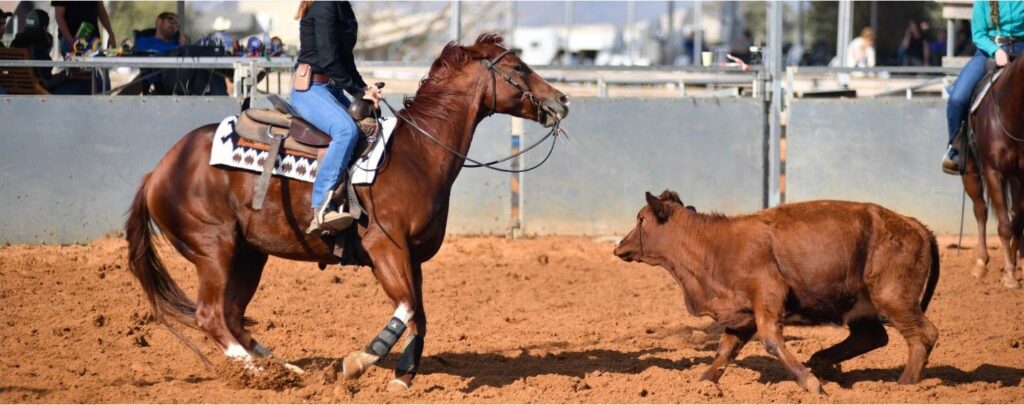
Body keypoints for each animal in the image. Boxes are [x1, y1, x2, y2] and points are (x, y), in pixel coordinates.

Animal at [124, 34, 570, 391]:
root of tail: (158, 171)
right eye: (518, 66)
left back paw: (285, 369)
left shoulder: (413, 256)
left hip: (249, 254)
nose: (562, 99)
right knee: (210, 316)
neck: (417, 153)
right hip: (214, 248)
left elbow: (420, 314)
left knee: (232, 315)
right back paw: (263, 375)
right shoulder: (384, 248)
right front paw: (358, 362)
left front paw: (403, 375)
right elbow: (407, 307)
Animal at [613, 190, 940, 394]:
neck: (712, 244)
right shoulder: (741, 315)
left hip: (893, 297)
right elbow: (725, 350)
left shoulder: (767, 294)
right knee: (872, 336)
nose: (618, 247)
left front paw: (809, 383)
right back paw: (823, 362)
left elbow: (770, 340)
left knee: (923, 335)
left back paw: (905, 385)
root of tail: (914, 224)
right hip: (862, 304)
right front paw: (704, 382)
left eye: (641, 220)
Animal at [960, 54, 1024, 289]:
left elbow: (1016, 221)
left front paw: (1011, 266)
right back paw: (980, 264)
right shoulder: (993, 172)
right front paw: (1010, 277)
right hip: (970, 172)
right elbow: (1004, 225)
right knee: (980, 209)